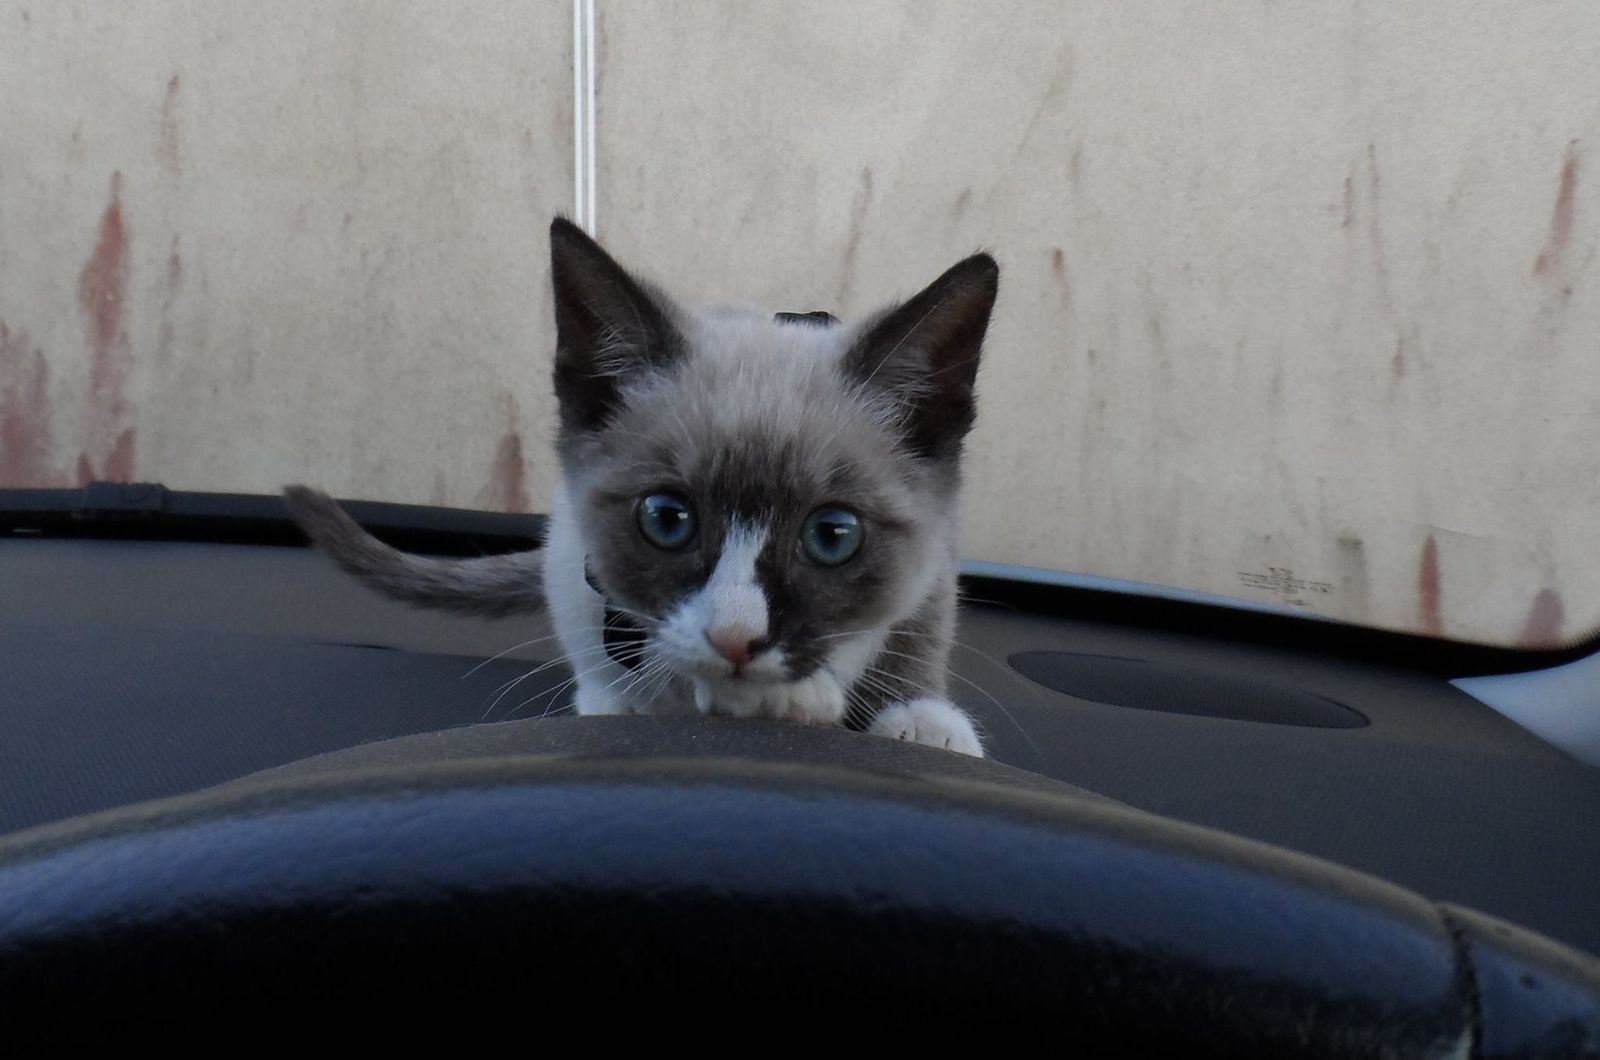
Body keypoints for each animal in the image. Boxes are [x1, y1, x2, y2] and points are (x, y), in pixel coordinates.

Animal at [281, 219, 992, 758]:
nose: (737, 638)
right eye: (667, 519)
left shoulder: (932, 560)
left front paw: (883, 713)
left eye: (832, 536)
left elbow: (887, 630)